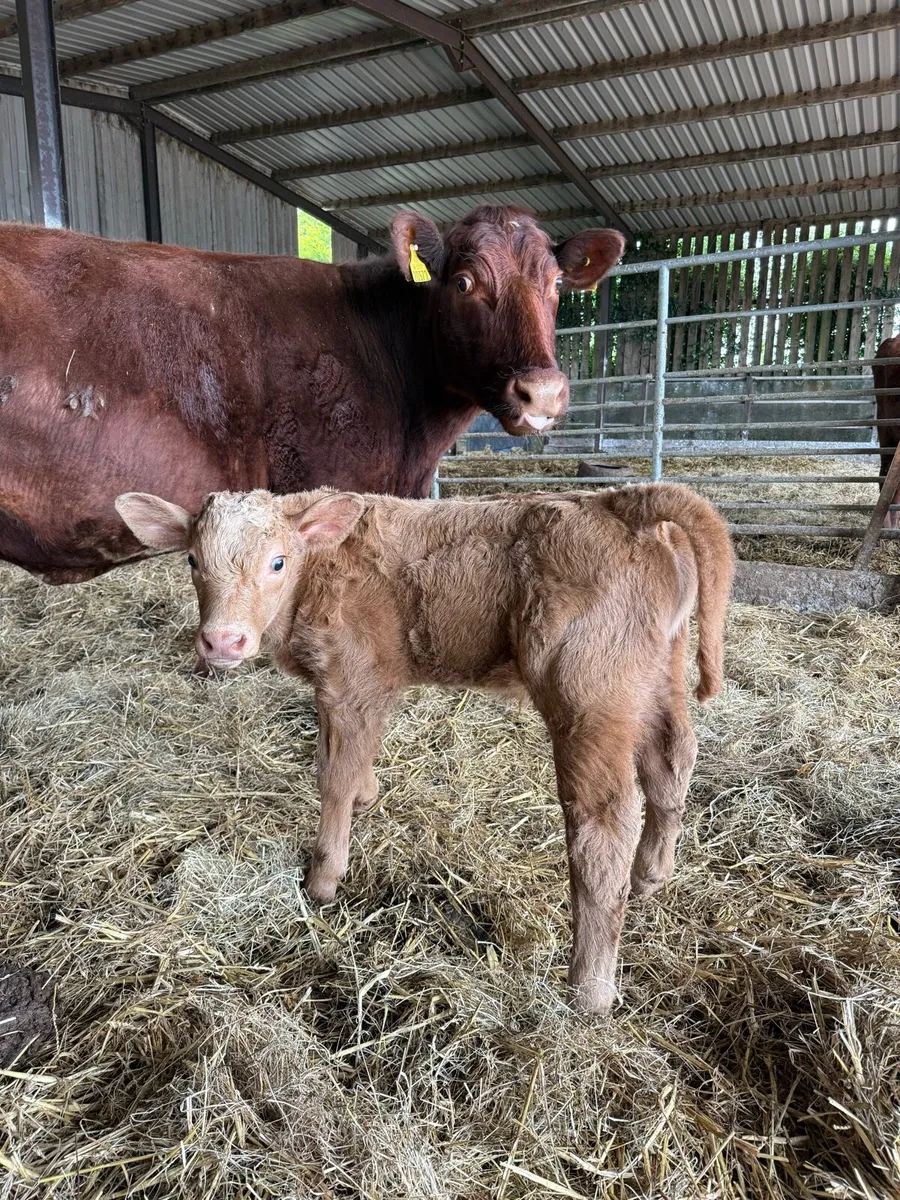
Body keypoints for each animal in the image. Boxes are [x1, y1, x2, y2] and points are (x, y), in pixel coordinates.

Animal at [116, 482, 734, 1014]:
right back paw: (653, 874)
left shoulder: (353, 678)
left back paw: (589, 988)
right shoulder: (352, 688)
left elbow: (333, 774)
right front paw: (367, 795)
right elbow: (348, 756)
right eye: (193, 561)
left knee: (603, 824)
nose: (223, 641)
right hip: (657, 673)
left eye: (277, 562)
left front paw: (323, 878)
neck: (317, 571)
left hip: (590, 695)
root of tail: (619, 501)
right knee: (672, 758)